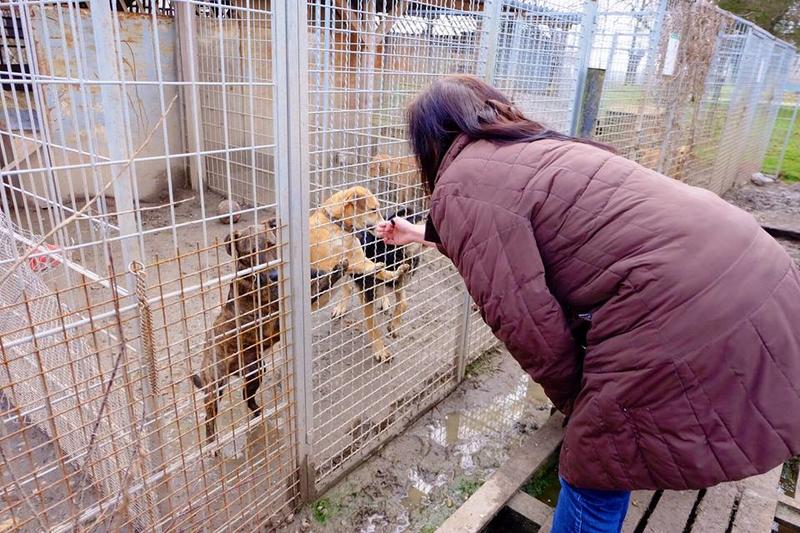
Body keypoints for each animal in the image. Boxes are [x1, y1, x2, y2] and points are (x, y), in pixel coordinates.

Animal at [192, 222, 348, 446]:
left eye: (271, 244)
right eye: (251, 252)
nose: (274, 275)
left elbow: (316, 277)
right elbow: (318, 285)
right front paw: (335, 271)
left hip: (256, 371)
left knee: (246, 397)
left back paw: (259, 415)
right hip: (216, 383)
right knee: (209, 417)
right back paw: (213, 443)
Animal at [310, 185, 410, 364]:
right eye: (373, 209)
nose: (387, 225)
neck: (338, 225)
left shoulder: (360, 259)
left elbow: (384, 274)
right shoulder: (329, 263)